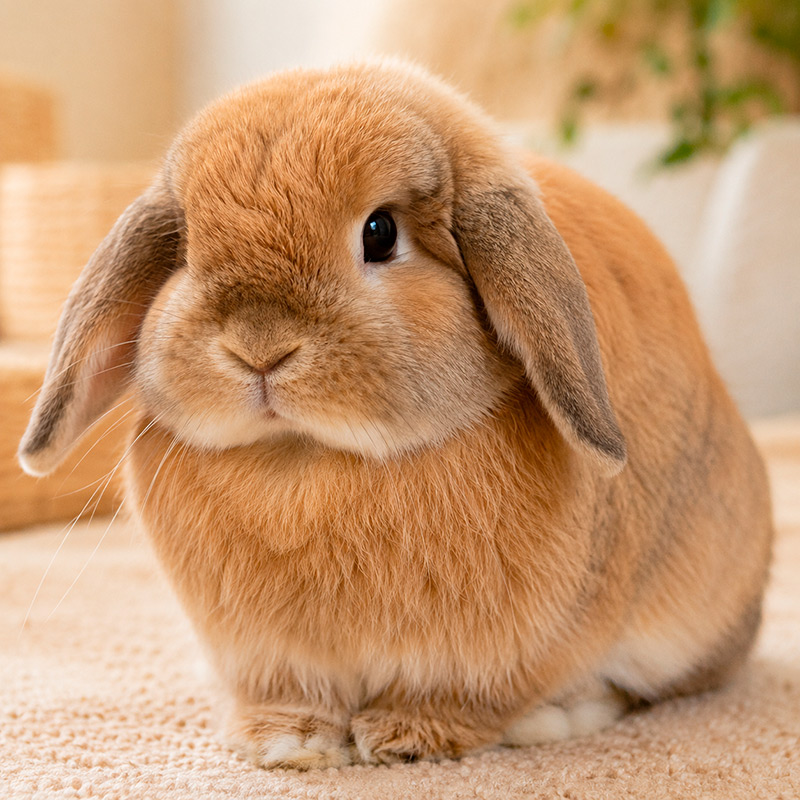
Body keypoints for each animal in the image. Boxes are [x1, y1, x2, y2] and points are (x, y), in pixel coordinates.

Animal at [19, 60, 773, 769]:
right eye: (182, 251)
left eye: (380, 233)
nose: (258, 348)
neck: (307, 459)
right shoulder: (272, 657)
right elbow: (289, 699)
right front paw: (285, 743)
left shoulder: (503, 654)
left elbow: (473, 698)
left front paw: (408, 739)